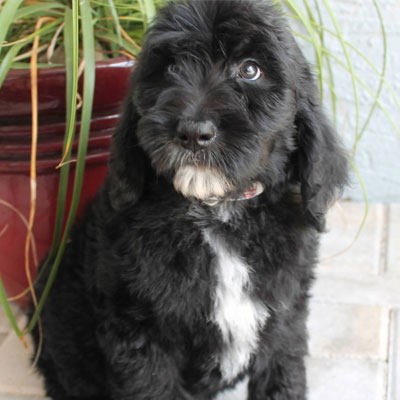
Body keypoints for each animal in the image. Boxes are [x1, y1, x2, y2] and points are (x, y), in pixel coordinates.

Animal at [32, 1, 346, 398]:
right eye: (170, 68)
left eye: (250, 69)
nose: (193, 132)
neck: (217, 210)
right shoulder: (140, 334)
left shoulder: (284, 319)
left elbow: (283, 375)